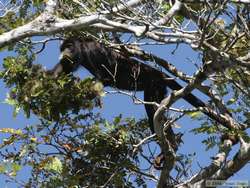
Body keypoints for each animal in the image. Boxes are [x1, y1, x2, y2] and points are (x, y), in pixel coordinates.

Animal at [49, 37, 206, 134]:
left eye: (69, 47)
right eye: (62, 49)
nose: (65, 52)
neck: (82, 47)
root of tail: (159, 73)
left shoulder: (91, 50)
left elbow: (104, 76)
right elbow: (59, 72)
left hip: (155, 84)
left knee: (152, 110)